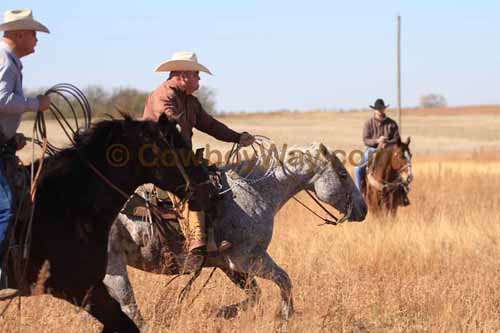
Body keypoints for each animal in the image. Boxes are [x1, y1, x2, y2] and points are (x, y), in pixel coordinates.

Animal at [104, 141, 368, 326]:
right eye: (343, 175)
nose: (363, 209)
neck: (255, 191)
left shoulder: (228, 265)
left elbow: (256, 295)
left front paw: (223, 312)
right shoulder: (248, 258)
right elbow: (284, 280)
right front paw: (284, 315)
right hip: (114, 267)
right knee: (129, 305)